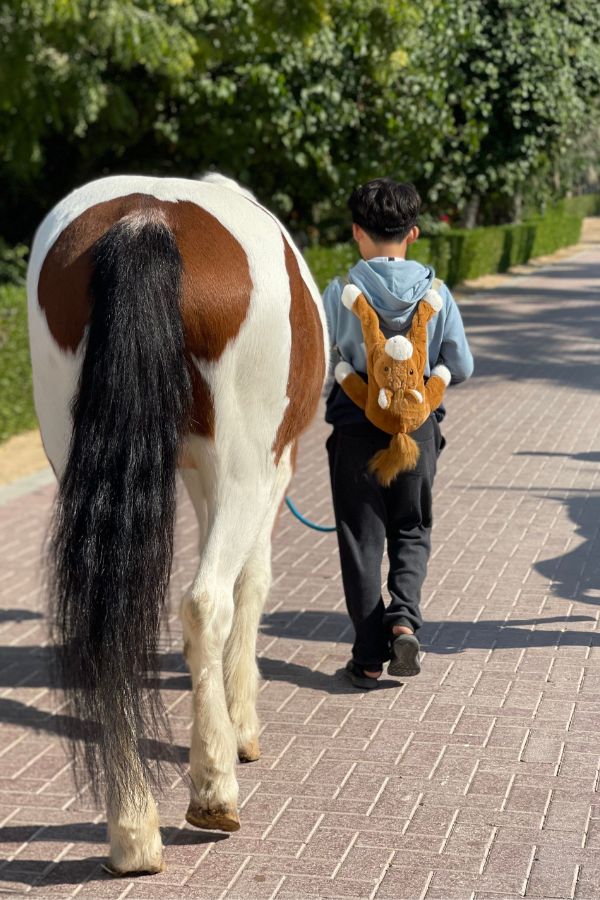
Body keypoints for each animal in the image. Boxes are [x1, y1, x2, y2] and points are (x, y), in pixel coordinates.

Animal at [26, 173, 328, 875]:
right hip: (245, 466)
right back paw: (214, 788)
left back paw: (133, 830)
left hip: (74, 453)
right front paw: (241, 724)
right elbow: (252, 583)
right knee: (203, 602)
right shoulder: (273, 467)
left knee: (104, 623)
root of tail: (146, 220)